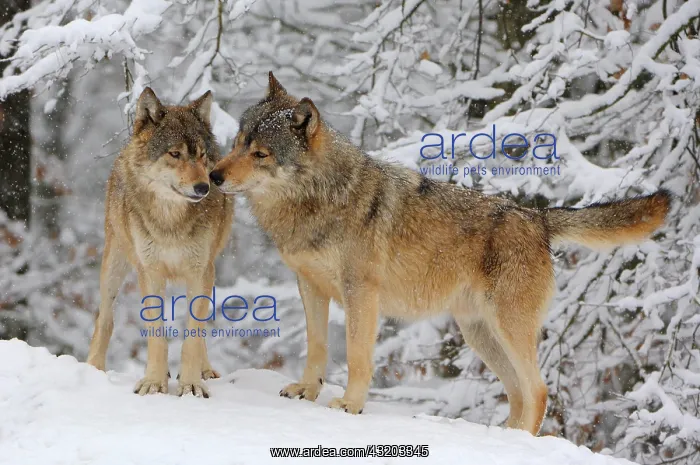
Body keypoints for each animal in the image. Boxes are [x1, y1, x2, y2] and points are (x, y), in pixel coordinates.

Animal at [86, 87, 234, 398]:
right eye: (175, 154)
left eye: (202, 155)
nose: (204, 187)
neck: (170, 221)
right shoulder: (150, 272)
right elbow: (156, 335)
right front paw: (153, 382)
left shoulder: (200, 272)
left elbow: (193, 334)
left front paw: (191, 384)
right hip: (114, 264)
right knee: (104, 318)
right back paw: (93, 368)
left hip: (209, 272)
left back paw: (204, 370)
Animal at [209, 72, 671, 434]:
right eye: (237, 142)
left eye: (260, 153)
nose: (213, 176)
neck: (318, 199)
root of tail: (537, 217)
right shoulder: (310, 285)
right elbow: (318, 346)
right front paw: (306, 392)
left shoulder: (361, 294)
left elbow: (357, 357)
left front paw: (349, 407)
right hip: (480, 334)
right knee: (519, 394)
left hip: (506, 329)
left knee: (538, 391)